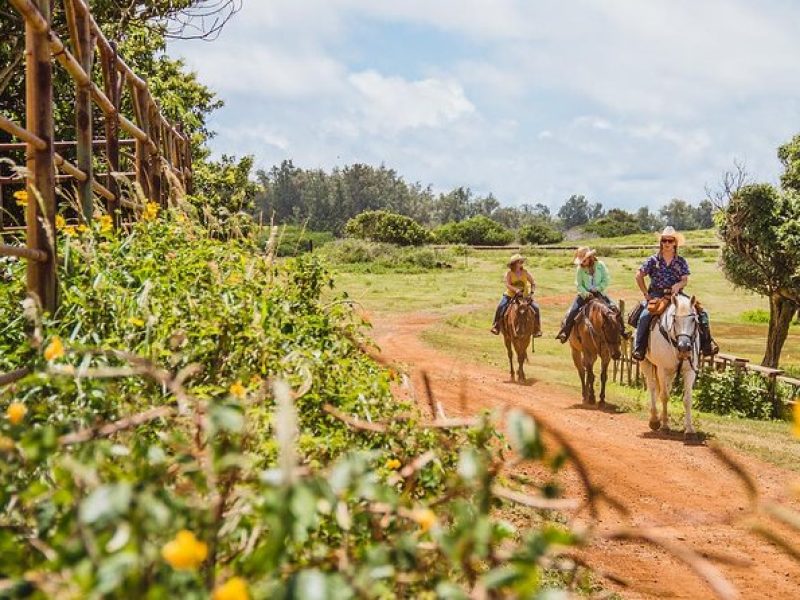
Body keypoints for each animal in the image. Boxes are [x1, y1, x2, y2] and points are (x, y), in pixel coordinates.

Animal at [640, 296, 696, 440]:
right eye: (674, 319)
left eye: (694, 320)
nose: (684, 347)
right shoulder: (662, 369)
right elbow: (664, 396)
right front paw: (665, 426)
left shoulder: (690, 371)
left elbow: (687, 399)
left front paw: (689, 430)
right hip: (646, 364)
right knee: (653, 388)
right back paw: (654, 420)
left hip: (670, 373)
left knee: (666, 388)